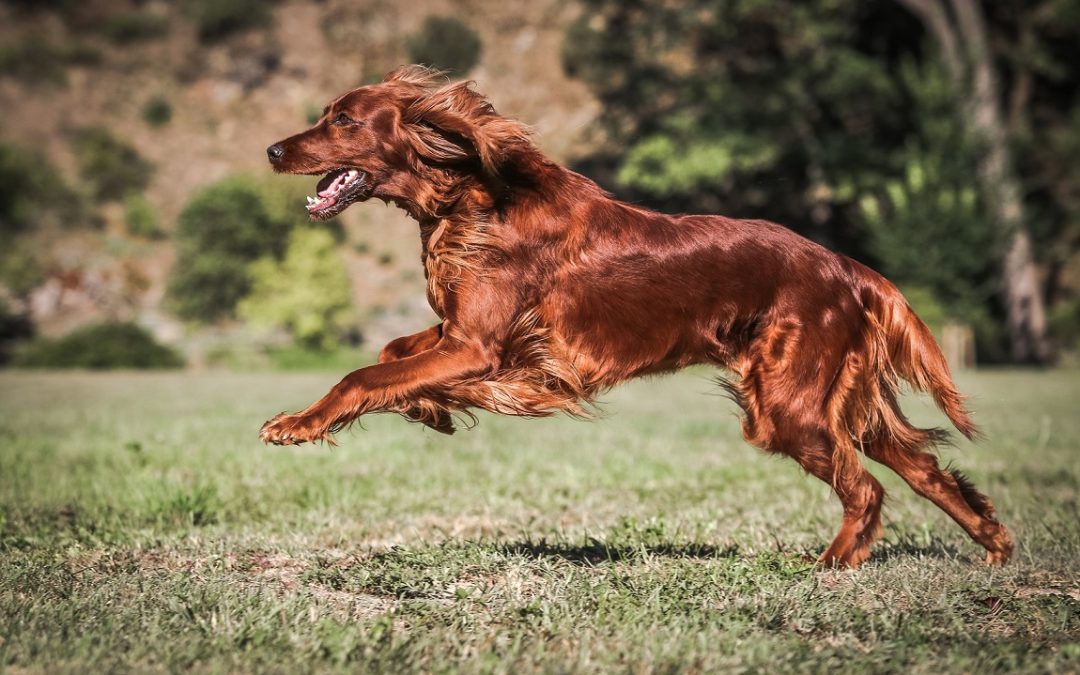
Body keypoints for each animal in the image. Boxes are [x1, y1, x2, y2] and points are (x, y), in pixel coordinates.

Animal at [259, 65, 1010, 565]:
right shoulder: (463, 336)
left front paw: (297, 423)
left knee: (868, 489)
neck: (475, 193)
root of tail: (850, 270)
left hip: (788, 407)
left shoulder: (477, 346)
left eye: (344, 121)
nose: (272, 149)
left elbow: (362, 374)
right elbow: (390, 354)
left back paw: (831, 565)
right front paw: (427, 409)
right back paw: (995, 544)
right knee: (926, 469)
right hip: (840, 403)